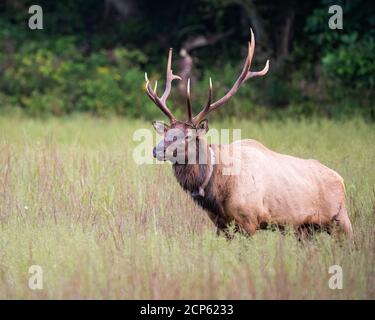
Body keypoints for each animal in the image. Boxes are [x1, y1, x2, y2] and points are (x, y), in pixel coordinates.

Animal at [144, 30, 352, 239]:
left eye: (187, 136)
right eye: (166, 132)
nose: (156, 150)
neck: (217, 189)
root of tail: (341, 180)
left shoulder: (249, 220)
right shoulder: (221, 225)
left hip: (341, 220)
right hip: (305, 229)